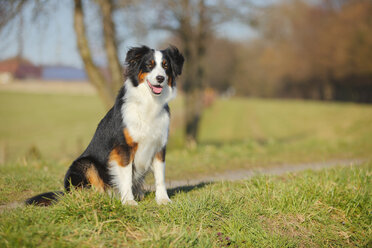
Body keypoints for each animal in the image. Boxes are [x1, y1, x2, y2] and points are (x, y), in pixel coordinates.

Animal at [25, 45, 183, 206]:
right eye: (149, 65)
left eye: (165, 66)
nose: (160, 78)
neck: (149, 103)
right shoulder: (123, 148)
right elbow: (126, 176)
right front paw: (128, 201)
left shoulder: (159, 146)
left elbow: (160, 177)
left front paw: (163, 199)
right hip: (85, 164)